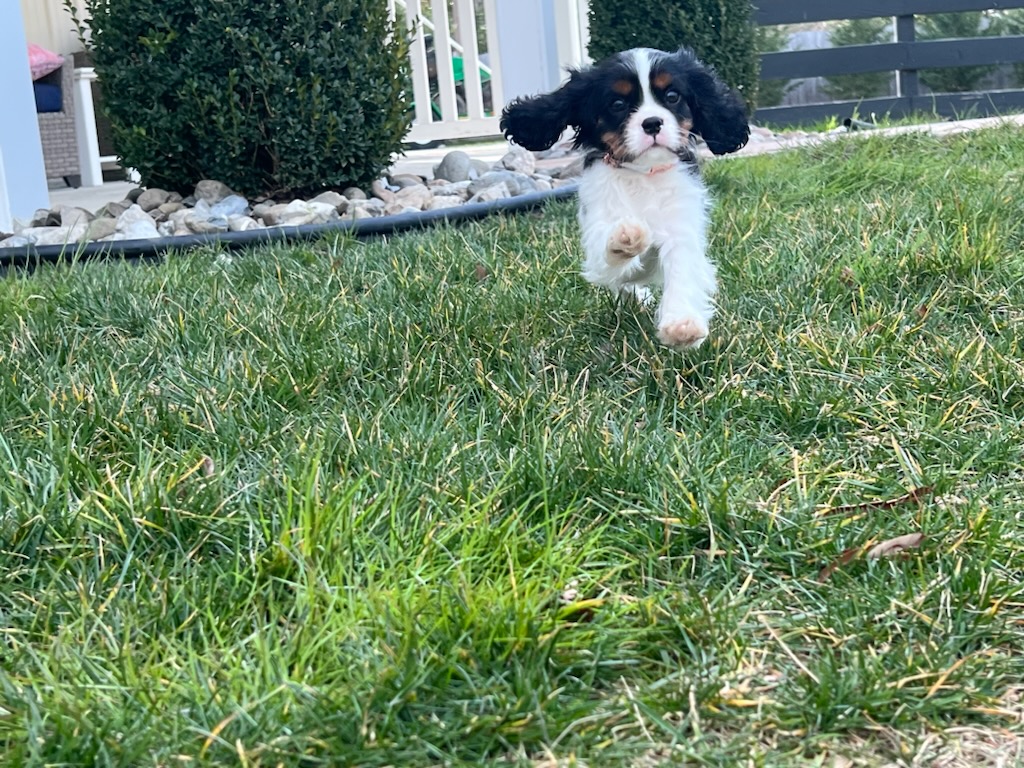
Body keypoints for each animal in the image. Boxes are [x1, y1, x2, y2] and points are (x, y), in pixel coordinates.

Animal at [499, 47, 749, 348]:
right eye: (617, 104)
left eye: (672, 97)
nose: (652, 123)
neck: (643, 173)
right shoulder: (597, 239)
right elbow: (612, 256)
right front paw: (625, 238)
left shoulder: (681, 227)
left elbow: (682, 269)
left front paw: (681, 323)